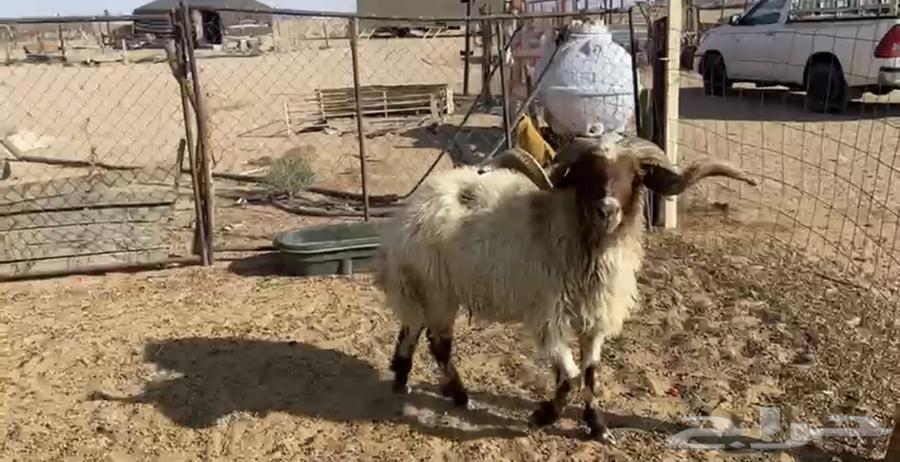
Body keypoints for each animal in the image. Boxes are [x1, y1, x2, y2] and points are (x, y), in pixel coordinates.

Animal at [374, 135, 757, 442]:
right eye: (587, 174)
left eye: (635, 175)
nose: (607, 210)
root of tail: (418, 202)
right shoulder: (550, 318)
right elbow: (570, 377)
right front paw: (543, 416)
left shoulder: (594, 319)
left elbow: (589, 376)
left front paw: (598, 427)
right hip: (437, 289)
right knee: (438, 343)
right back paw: (459, 396)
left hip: (427, 289)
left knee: (412, 327)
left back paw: (402, 377)